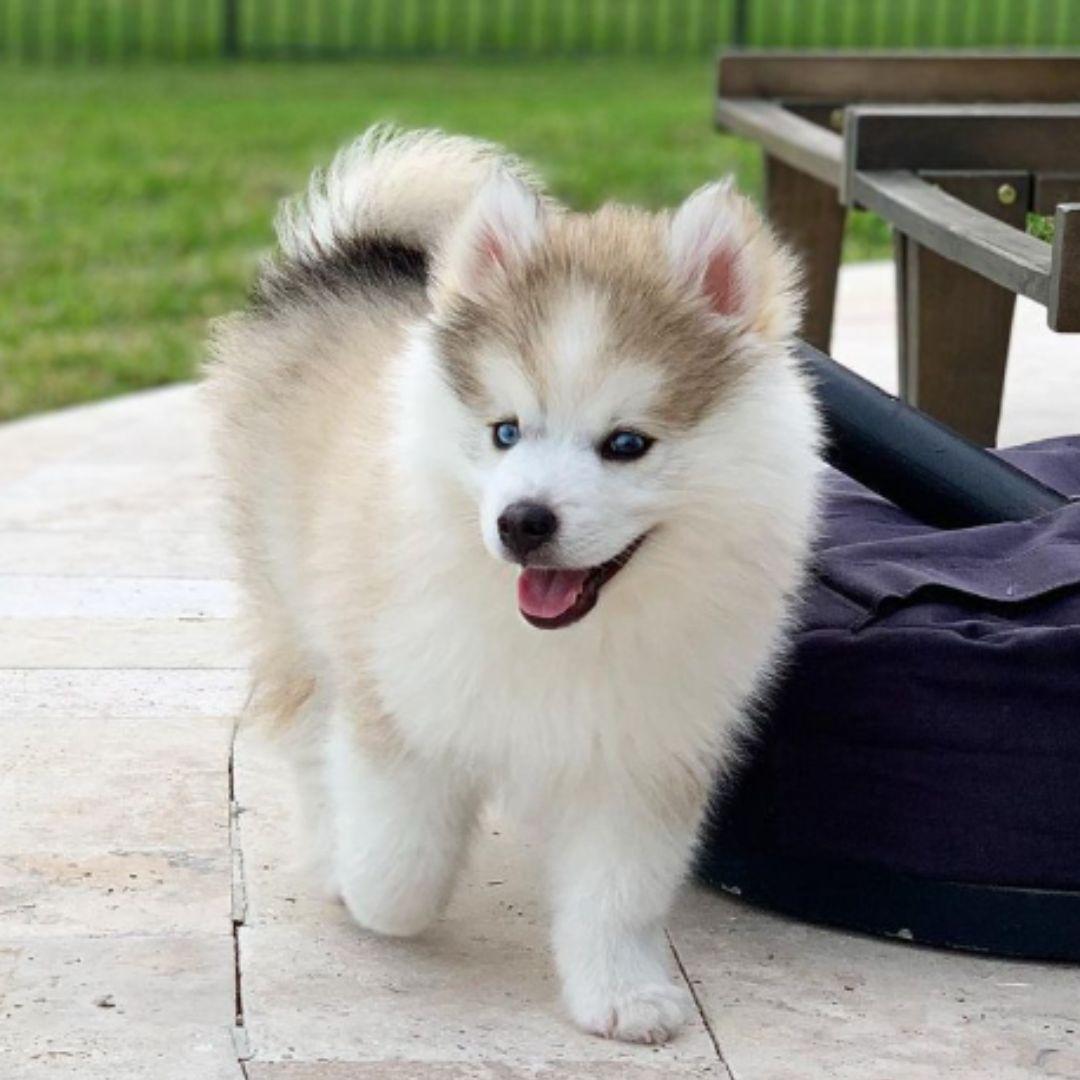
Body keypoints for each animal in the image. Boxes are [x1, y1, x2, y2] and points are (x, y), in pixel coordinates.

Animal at [206, 126, 820, 1045]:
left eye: (627, 444)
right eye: (505, 431)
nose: (522, 522)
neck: (559, 640)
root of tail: (349, 257)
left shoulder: (644, 750)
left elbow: (618, 892)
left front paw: (623, 996)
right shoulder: (399, 698)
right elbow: (400, 862)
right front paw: (367, 888)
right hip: (291, 592)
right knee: (307, 732)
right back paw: (326, 849)